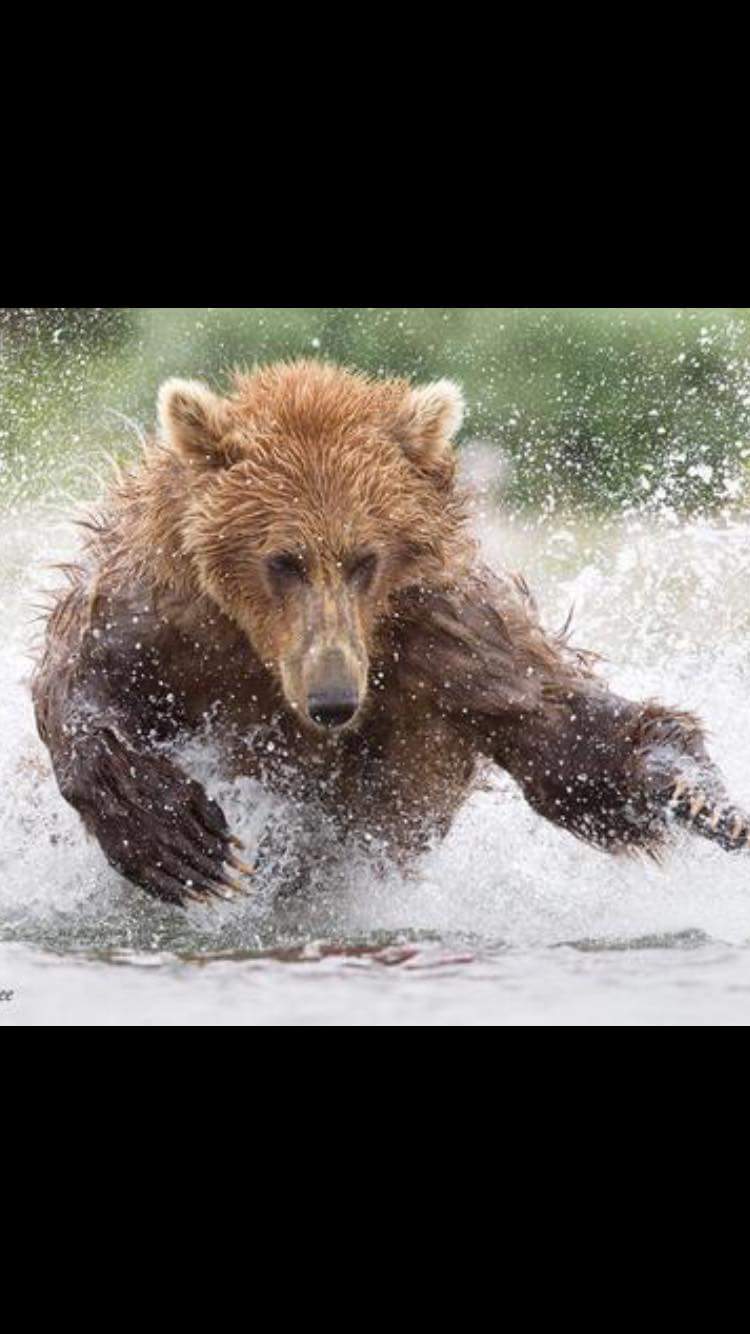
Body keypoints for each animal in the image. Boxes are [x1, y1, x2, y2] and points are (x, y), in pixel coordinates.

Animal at [32, 359, 750, 906]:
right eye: (283, 560)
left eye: (364, 558)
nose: (333, 700)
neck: (263, 649)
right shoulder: (165, 619)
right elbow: (78, 678)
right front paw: (177, 838)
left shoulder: (450, 640)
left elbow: (568, 736)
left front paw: (707, 801)